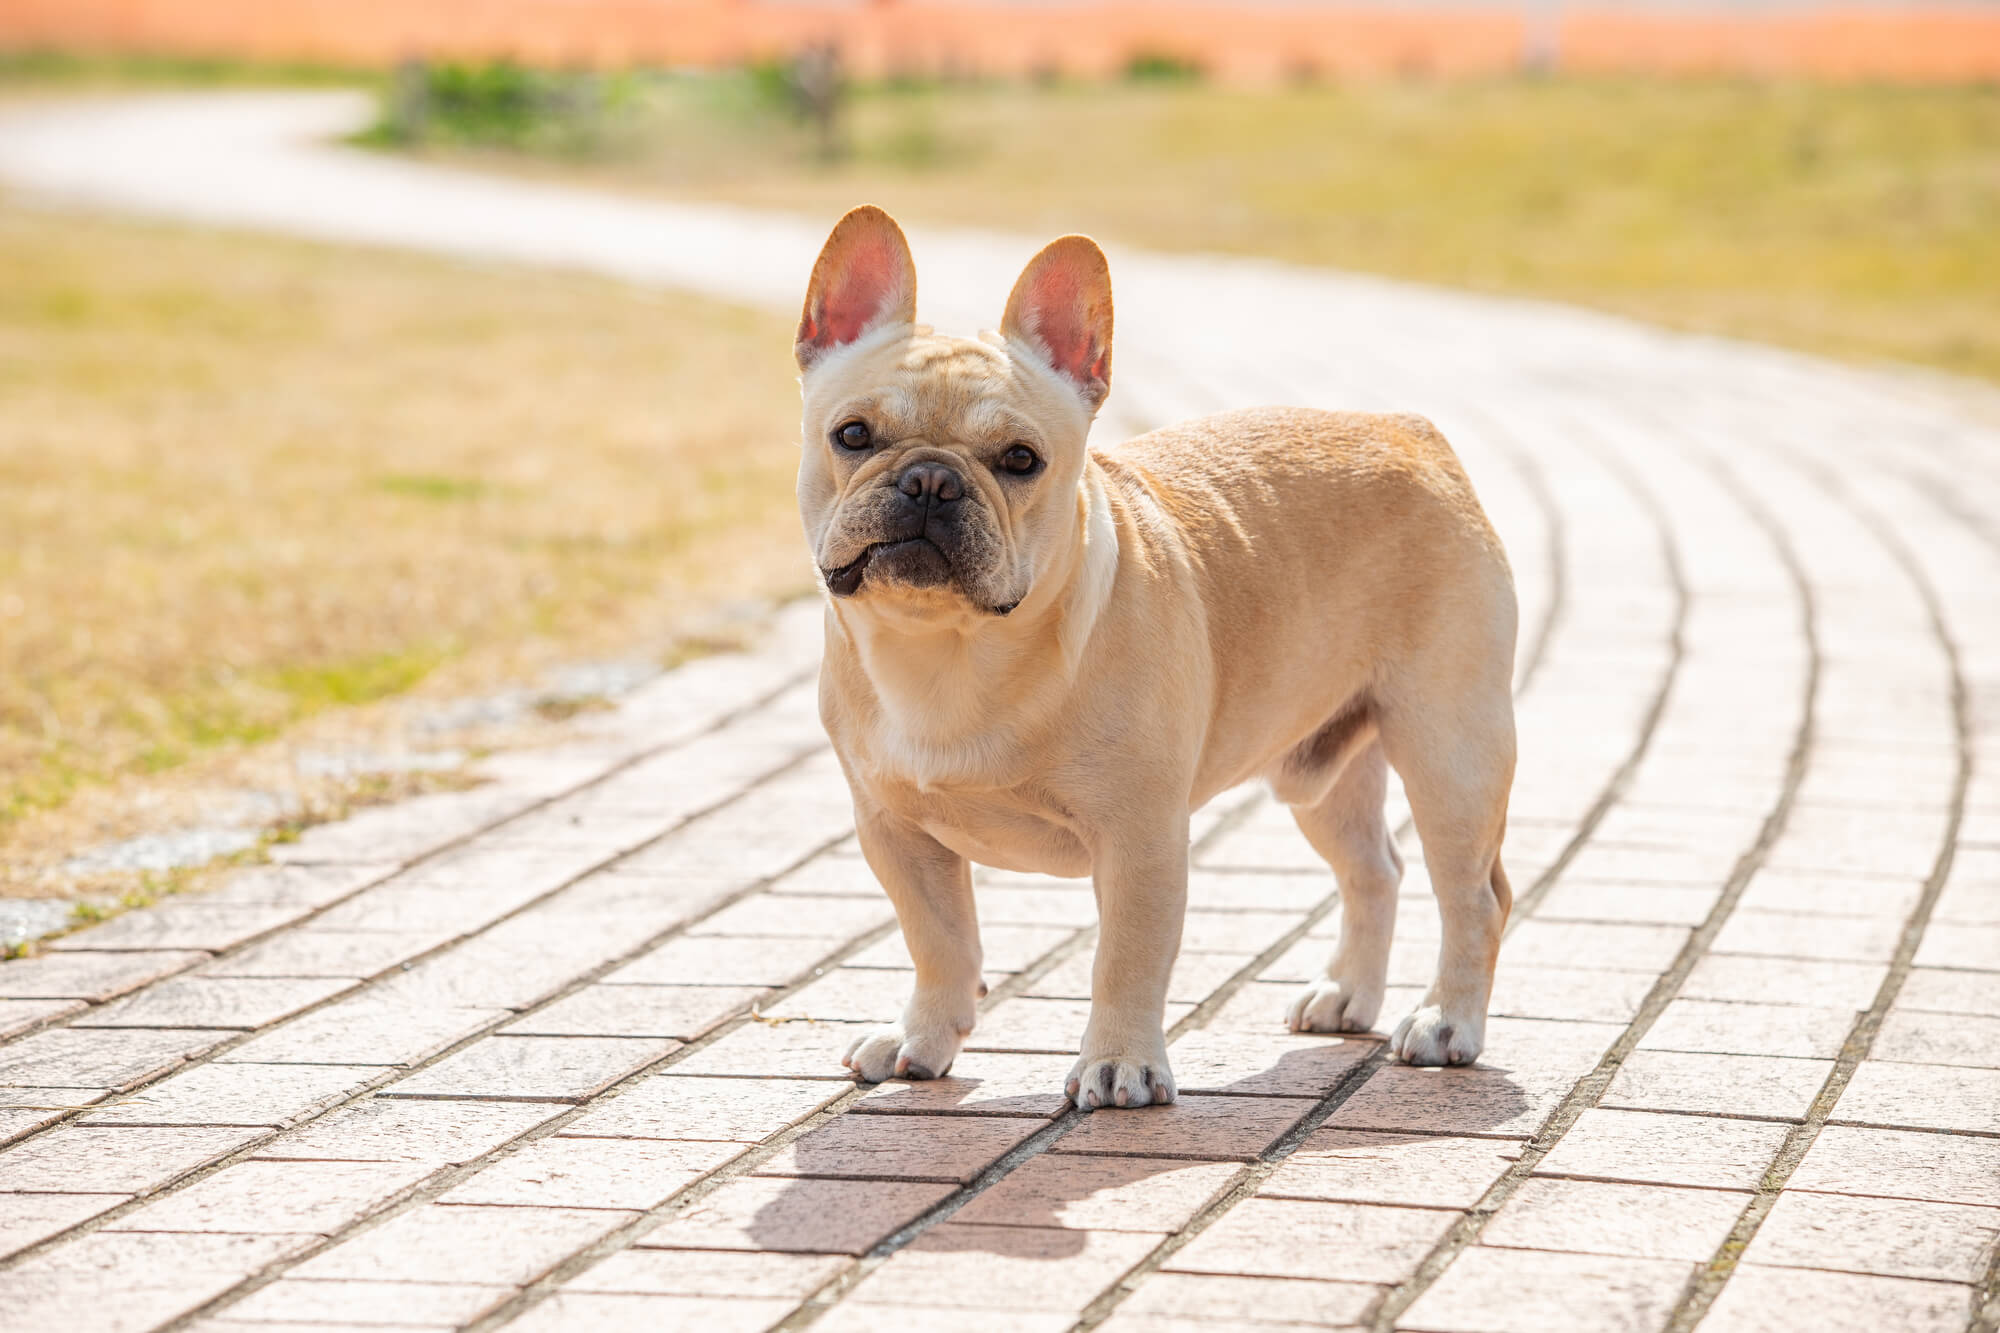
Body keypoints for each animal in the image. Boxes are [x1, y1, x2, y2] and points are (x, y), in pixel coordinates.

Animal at [796, 205, 1512, 1096]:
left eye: (1020, 460)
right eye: (853, 435)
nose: (931, 479)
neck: (949, 647)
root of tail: (1409, 430)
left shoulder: (1140, 837)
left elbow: (1126, 957)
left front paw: (1119, 1063)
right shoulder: (895, 831)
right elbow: (939, 940)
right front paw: (922, 1036)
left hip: (1450, 748)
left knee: (1473, 895)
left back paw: (1447, 1021)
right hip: (1322, 770)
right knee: (1373, 869)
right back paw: (1348, 994)